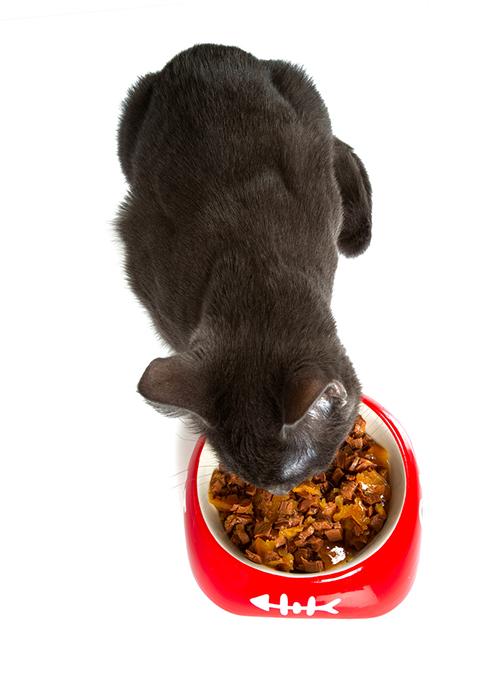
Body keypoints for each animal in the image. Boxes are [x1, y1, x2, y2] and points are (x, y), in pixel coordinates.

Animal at [114, 43, 372, 494]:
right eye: (243, 474)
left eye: (304, 472)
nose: (278, 492)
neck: (254, 277)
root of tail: (204, 49)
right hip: (130, 120)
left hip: (303, 94)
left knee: (334, 145)